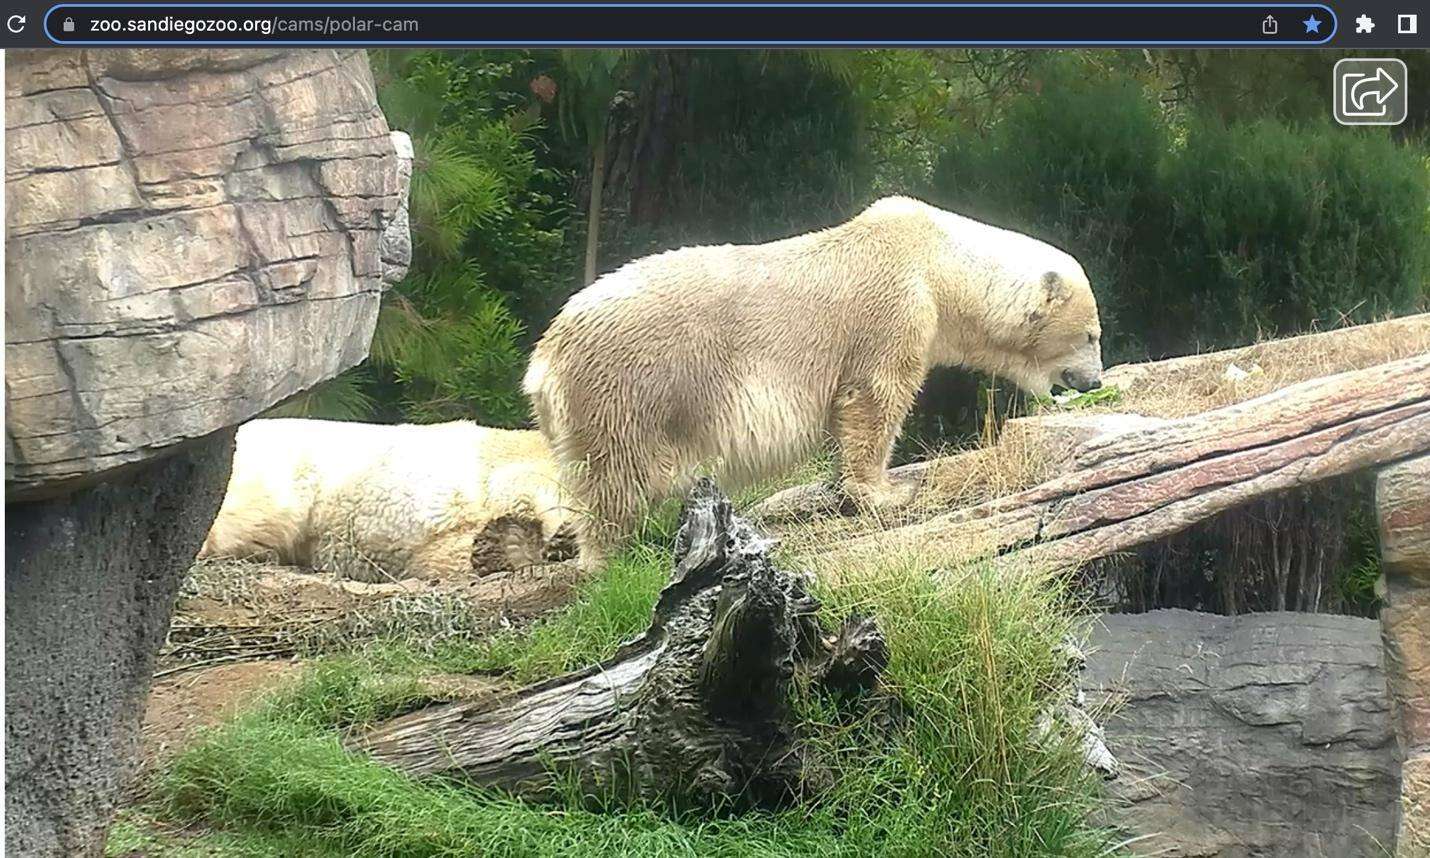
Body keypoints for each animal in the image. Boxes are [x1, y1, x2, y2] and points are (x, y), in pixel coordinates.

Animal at [529, 197, 1103, 566]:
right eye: (1093, 335)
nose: (1095, 381)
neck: (938, 262)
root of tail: (544, 360)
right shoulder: (894, 308)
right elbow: (875, 397)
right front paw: (887, 491)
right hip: (628, 388)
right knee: (614, 481)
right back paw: (612, 558)